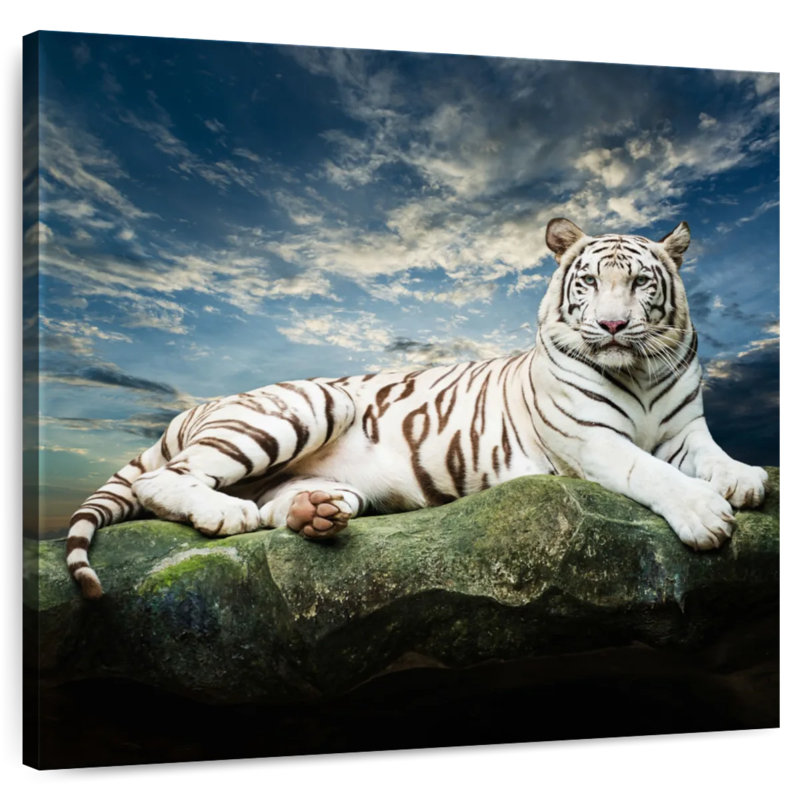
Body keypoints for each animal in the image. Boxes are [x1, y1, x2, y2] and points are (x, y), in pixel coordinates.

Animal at [66, 217, 769, 599]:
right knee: (168, 479)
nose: (615, 325)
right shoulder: (589, 439)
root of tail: (201, 404)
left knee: (277, 504)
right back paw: (223, 514)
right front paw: (706, 515)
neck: (639, 370)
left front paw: (744, 480)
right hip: (303, 407)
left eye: (642, 284)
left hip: (318, 478)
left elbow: (711, 455)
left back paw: (313, 513)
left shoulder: (686, 427)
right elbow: (646, 471)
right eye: (591, 282)